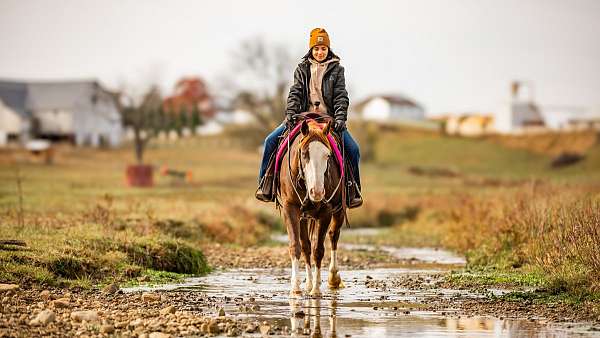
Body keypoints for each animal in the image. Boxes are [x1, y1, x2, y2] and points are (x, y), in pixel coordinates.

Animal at [278, 116, 344, 296]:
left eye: (328, 155)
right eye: (304, 153)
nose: (317, 192)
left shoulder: (326, 212)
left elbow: (318, 250)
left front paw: (316, 289)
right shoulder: (290, 209)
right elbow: (296, 246)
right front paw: (296, 287)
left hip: (339, 211)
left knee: (333, 236)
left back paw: (332, 278)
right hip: (303, 216)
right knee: (306, 246)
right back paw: (307, 283)